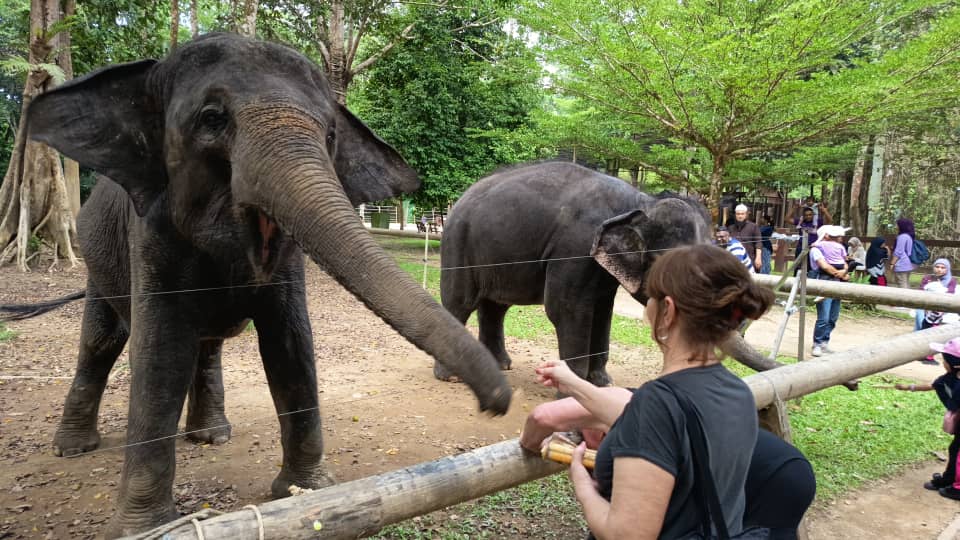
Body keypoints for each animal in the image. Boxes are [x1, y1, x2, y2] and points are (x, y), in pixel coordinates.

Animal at [10, 33, 511, 537]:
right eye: (212, 119)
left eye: (331, 136)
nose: (497, 402)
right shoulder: (150, 231)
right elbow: (161, 351)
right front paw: (144, 528)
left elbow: (290, 343)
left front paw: (307, 490)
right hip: (96, 264)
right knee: (102, 341)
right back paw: (74, 448)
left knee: (205, 345)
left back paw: (211, 436)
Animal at [437, 162, 786, 386]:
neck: (639, 201)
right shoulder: (575, 247)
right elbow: (567, 309)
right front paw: (575, 387)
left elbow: (602, 310)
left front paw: (601, 382)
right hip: (458, 242)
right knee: (459, 303)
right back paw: (449, 375)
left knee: (495, 306)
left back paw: (500, 366)